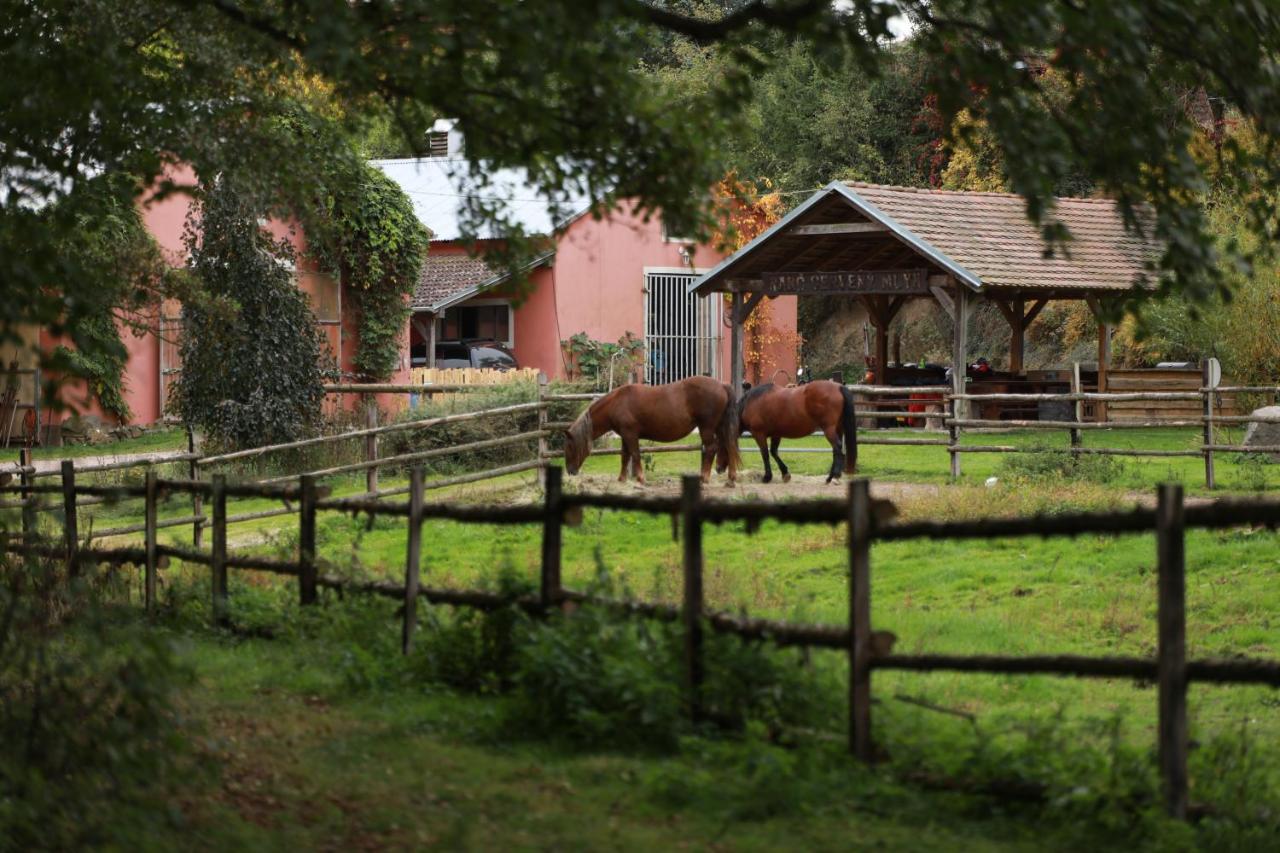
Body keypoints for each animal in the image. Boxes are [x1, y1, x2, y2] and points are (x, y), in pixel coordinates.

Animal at [563, 373, 742, 484]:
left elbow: (635, 455)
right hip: (720, 427)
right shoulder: (625, 436)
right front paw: (622, 479)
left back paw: (704, 478)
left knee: (712, 448)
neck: (617, 403)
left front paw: (641, 479)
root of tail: (722, 385)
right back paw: (731, 478)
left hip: (707, 428)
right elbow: (624, 456)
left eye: (569, 447)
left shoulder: (630, 435)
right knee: (728, 446)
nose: (570, 471)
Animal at [732, 379, 860, 481]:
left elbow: (765, 454)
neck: (750, 403)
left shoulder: (759, 434)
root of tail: (838, 387)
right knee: (836, 450)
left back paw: (833, 476)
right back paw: (833, 476)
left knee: (837, 447)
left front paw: (767, 477)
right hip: (838, 428)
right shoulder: (776, 434)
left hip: (829, 429)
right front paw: (785, 473)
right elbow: (774, 452)